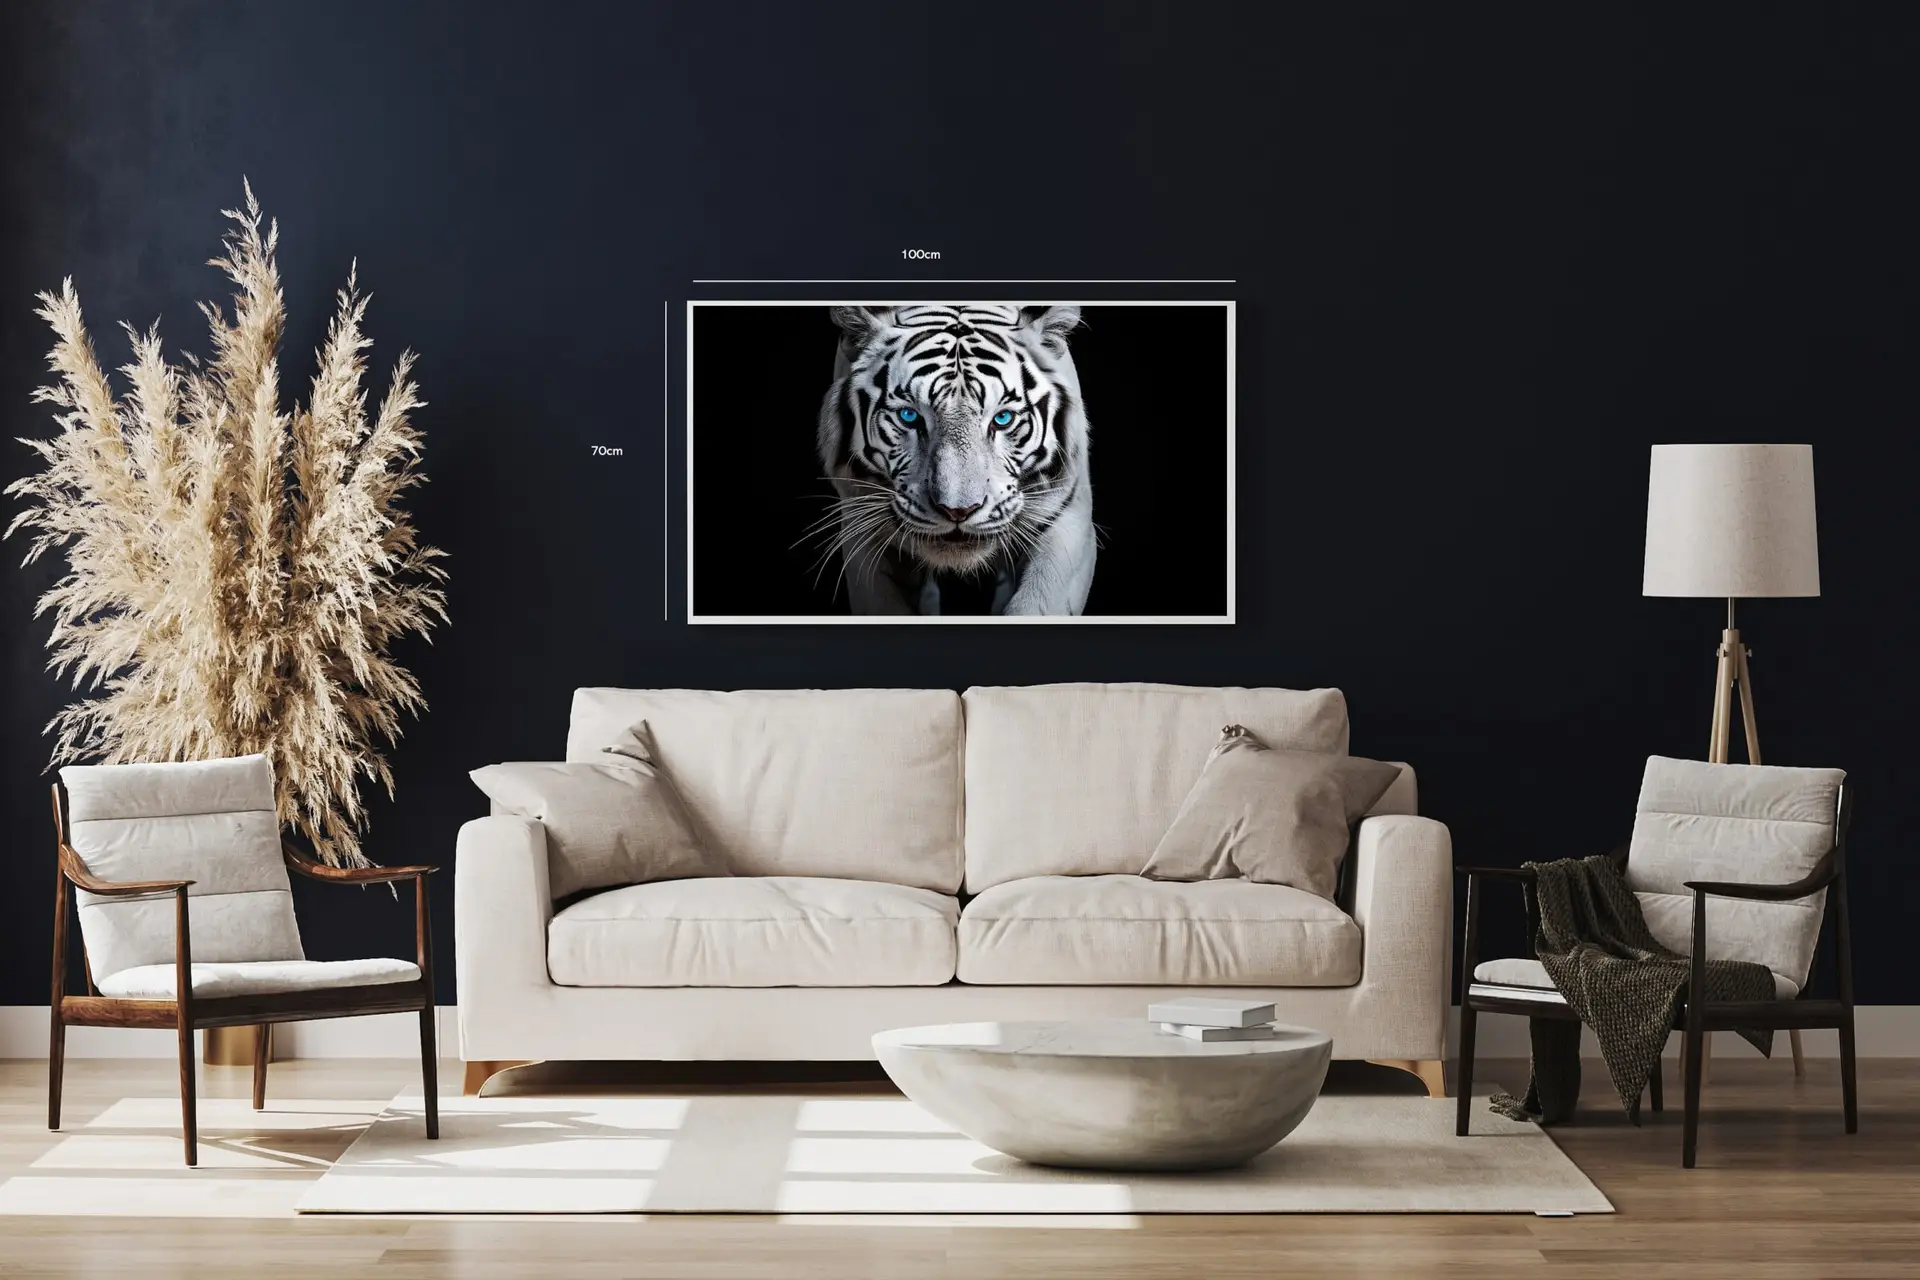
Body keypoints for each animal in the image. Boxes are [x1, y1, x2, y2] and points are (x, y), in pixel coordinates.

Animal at [813, 304, 1096, 616]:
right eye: (909, 416)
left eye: (1003, 418)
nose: (958, 511)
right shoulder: (863, 527)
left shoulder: (1067, 520)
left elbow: (1037, 606)